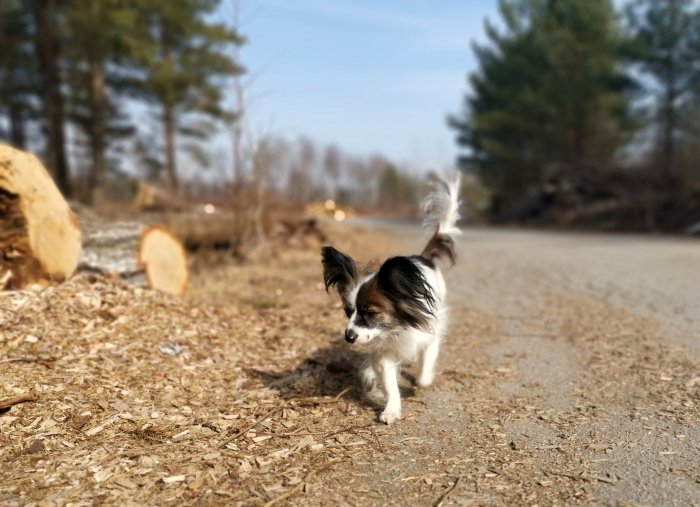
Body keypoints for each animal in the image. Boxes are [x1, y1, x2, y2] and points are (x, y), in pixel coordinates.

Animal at [322, 175, 460, 424]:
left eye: (370, 312)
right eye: (348, 311)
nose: (348, 337)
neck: (398, 328)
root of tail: (422, 258)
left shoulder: (429, 335)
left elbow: (426, 364)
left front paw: (422, 378)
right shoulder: (384, 353)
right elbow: (389, 381)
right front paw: (392, 409)